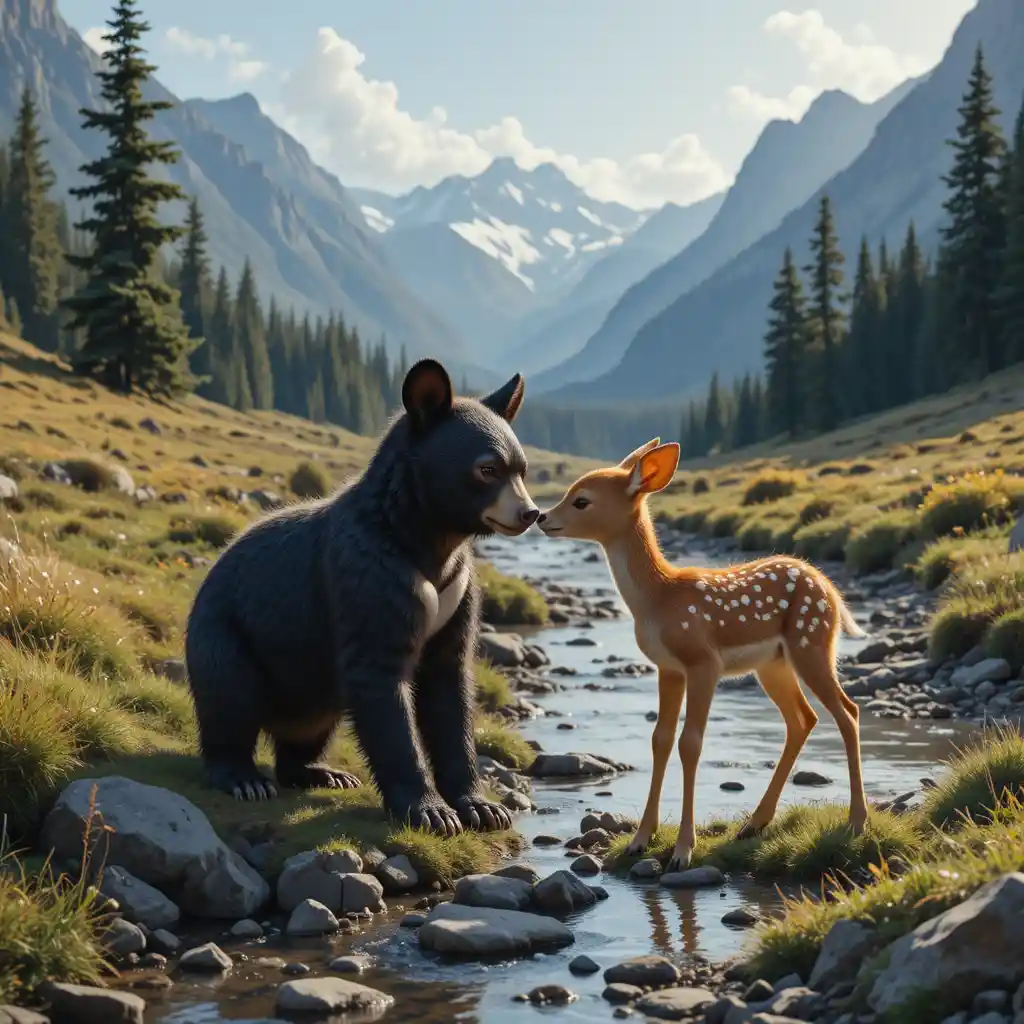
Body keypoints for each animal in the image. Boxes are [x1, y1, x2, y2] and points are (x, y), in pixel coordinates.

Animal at [183, 359, 539, 835]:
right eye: (487, 469)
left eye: (521, 468)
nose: (530, 513)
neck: (426, 537)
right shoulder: (367, 578)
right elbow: (380, 683)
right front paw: (431, 811)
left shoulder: (457, 592)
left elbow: (450, 689)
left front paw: (482, 807)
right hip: (225, 635)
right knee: (229, 696)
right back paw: (243, 778)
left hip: (309, 694)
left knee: (306, 732)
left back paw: (322, 771)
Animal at [536, 438, 869, 872]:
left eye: (581, 500)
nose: (540, 517)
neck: (657, 599)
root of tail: (829, 587)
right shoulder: (667, 667)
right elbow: (660, 740)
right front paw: (639, 841)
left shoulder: (703, 662)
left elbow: (690, 743)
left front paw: (682, 851)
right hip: (773, 663)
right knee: (803, 719)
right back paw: (754, 823)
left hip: (811, 642)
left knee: (847, 712)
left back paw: (856, 821)